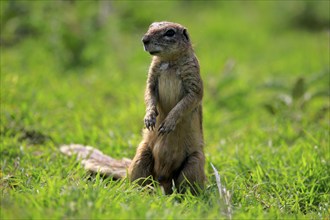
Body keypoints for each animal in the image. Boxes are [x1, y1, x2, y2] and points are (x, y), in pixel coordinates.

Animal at [60, 21, 205, 195]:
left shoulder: (193, 80)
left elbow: (188, 101)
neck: (169, 62)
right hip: (142, 156)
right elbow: (149, 94)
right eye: (151, 26)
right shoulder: (152, 77)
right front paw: (149, 118)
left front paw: (169, 122)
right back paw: (139, 191)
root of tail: (163, 181)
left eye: (170, 32)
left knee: (185, 186)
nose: (144, 39)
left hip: (194, 163)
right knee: (138, 180)